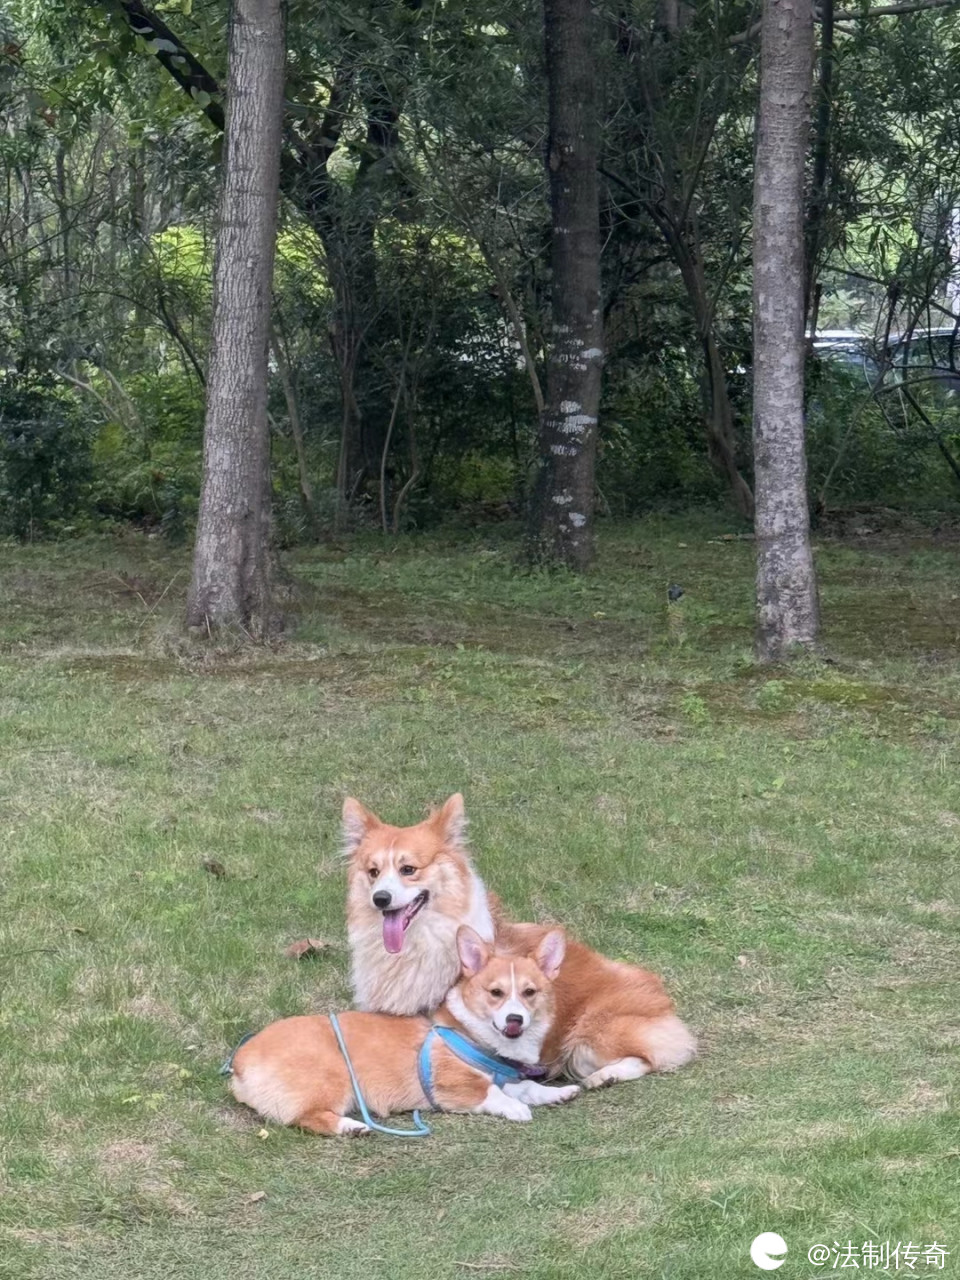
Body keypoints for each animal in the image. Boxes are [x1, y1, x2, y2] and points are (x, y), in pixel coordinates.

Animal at [229, 925, 580, 1136]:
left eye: (529, 992)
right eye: (496, 993)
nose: (514, 1020)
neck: (472, 1034)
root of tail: (240, 1060)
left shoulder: (507, 1078)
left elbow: (529, 1087)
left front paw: (559, 1093)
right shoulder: (457, 1085)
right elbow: (494, 1094)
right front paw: (517, 1109)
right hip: (335, 1075)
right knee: (307, 1117)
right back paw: (350, 1126)